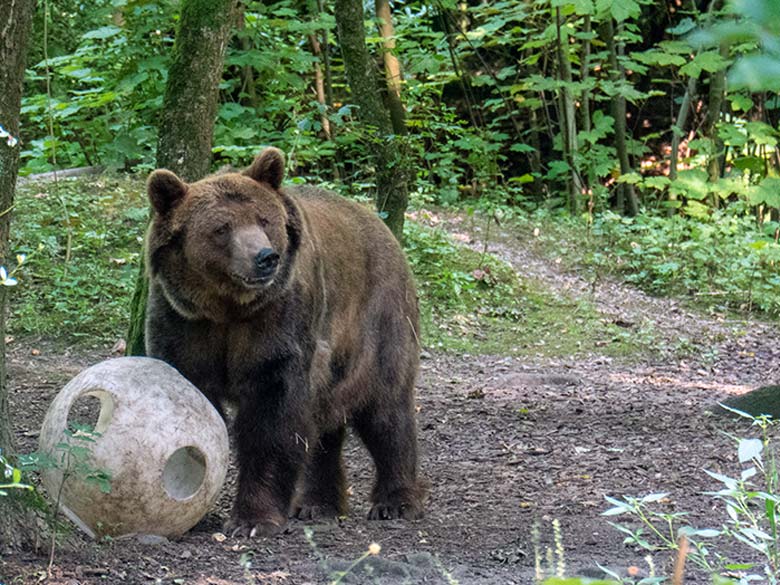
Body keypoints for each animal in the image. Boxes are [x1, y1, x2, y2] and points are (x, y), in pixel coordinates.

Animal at [146, 146, 426, 532]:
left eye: (264, 220)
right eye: (222, 228)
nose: (265, 258)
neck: (227, 309)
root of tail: (382, 227)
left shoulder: (278, 322)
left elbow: (274, 417)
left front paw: (253, 518)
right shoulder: (185, 323)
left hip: (377, 323)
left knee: (386, 410)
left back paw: (395, 501)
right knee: (324, 425)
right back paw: (317, 504)